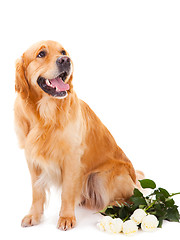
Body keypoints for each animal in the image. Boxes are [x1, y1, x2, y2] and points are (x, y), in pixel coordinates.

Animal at [13, 40, 143, 230]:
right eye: (41, 54)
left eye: (63, 52)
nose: (65, 60)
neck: (46, 115)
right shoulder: (32, 158)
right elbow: (37, 192)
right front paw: (33, 216)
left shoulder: (72, 158)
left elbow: (67, 192)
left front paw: (66, 217)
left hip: (102, 176)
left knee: (129, 199)